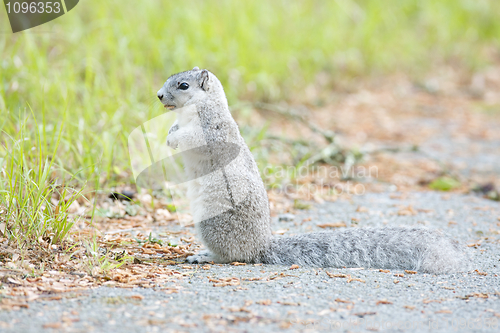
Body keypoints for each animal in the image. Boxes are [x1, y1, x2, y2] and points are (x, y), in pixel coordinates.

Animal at [158, 67, 470, 272]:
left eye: (183, 86)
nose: (159, 95)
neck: (201, 107)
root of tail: (260, 246)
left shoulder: (210, 131)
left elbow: (192, 139)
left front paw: (172, 139)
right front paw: (169, 133)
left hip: (214, 225)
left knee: (232, 256)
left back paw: (205, 256)